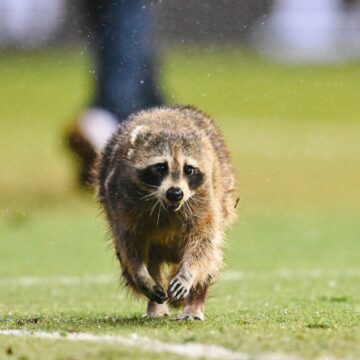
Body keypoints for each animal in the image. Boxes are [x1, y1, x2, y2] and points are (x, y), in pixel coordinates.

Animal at [95, 105, 236, 320]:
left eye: (189, 169)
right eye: (160, 167)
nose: (175, 193)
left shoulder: (206, 196)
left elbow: (203, 240)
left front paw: (188, 274)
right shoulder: (119, 197)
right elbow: (128, 243)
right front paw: (141, 275)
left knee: (211, 257)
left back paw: (194, 302)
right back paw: (155, 303)